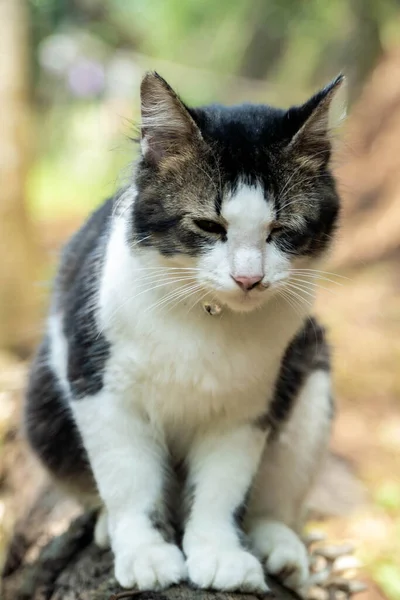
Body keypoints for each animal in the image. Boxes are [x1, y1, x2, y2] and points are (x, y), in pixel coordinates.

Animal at [24, 72, 344, 592]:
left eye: (281, 230)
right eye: (209, 226)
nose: (248, 278)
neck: (207, 318)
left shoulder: (245, 412)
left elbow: (220, 490)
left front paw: (219, 553)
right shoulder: (102, 391)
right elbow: (130, 481)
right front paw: (146, 553)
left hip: (311, 378)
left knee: (272, 503)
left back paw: (280, 550)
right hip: (43, 407)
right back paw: (106, 526)